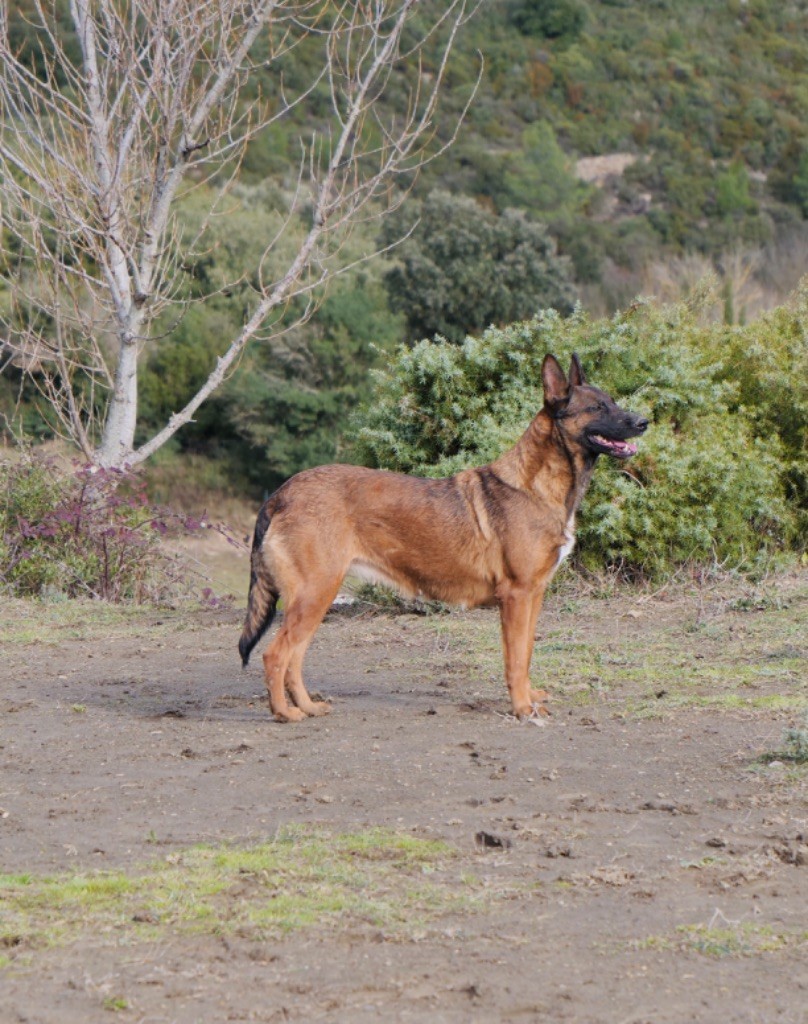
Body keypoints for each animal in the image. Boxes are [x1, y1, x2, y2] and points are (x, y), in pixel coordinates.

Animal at [236, 356, 647, 724]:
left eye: (613, 401)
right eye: (597, 407)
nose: (644, 422)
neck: (538, 486)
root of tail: (281, 494)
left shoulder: (534, 596)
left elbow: (527, 653)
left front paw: (529, 697)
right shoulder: (517, 597)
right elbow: (515, 660)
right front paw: (521, 708)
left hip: (314, 600)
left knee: (294, 658)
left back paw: (306, 707)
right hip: (314, 595)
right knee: (276, 655)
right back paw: (285, 713)